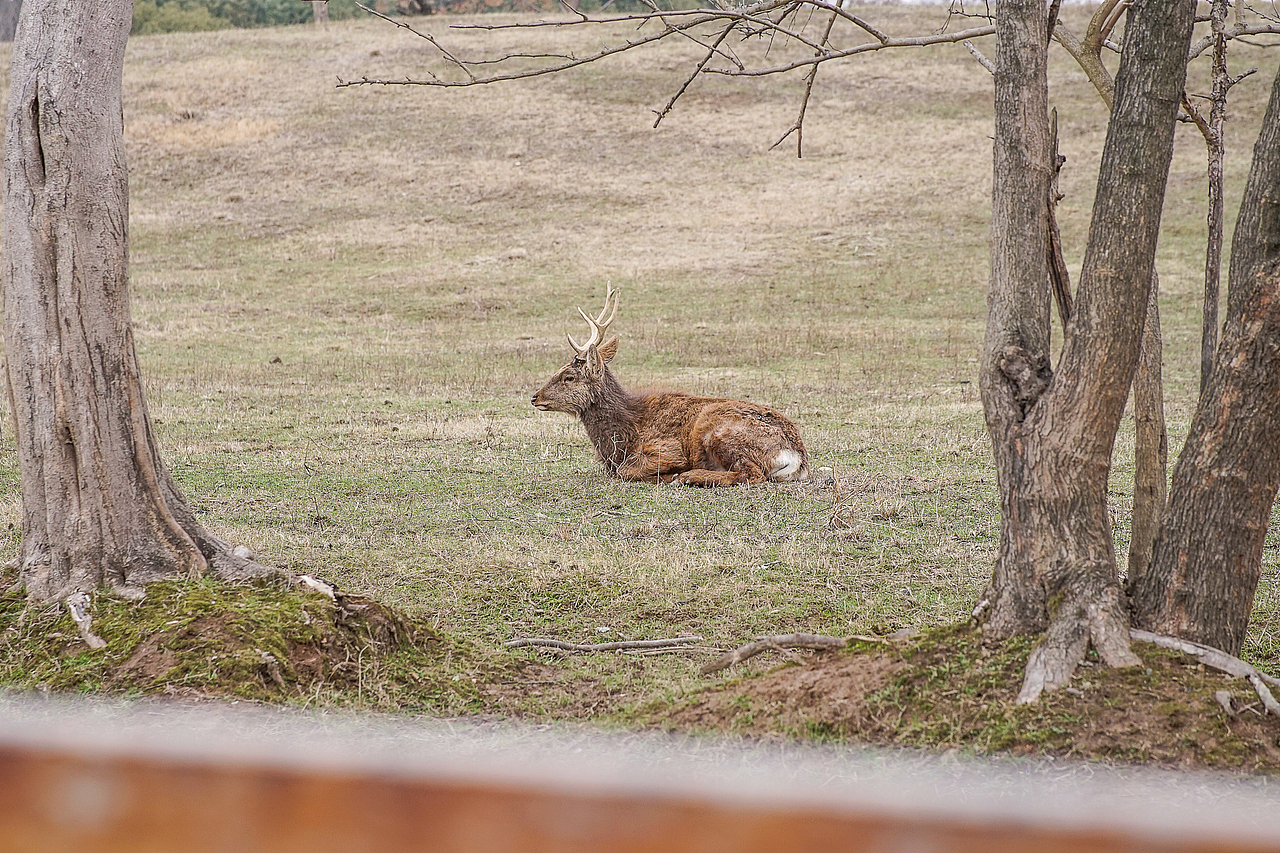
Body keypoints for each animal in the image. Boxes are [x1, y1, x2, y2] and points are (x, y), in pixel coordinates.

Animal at [531, 286, 810, 486]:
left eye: (568, 377)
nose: (535, 397)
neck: (622, 436)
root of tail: (797, 458)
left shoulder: (665, 448)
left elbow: (625, 471)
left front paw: (670, 475)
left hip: (720, 431)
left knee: (750, 474)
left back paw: (689, 477)